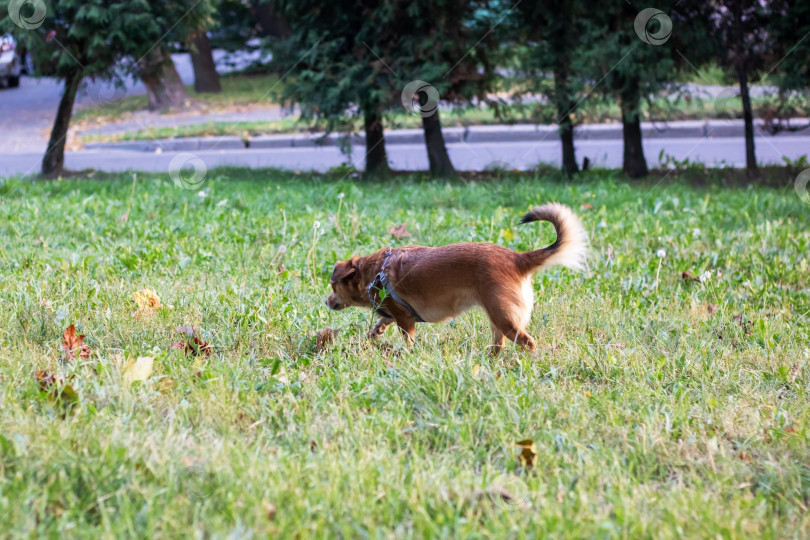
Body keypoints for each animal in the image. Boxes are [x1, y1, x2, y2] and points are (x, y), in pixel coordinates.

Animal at [326, 205, 584, 352]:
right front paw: (376, 331)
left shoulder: (405, 321)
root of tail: (517, 258)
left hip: (506, 319)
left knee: (527, 343)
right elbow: (382, 320)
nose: (326, 301)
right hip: (496, 318)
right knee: (498, 345)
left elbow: (407, 340)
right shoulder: (396, 314)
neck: (374, 272)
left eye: (333, 287)